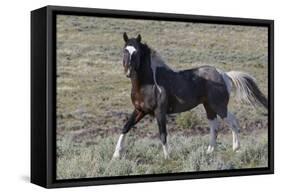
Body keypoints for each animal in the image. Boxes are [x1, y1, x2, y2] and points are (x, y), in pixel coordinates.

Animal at [112, 32, 266, 159]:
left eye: (136, 52)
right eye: (124, 50)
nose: (128, 72)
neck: (149, 83)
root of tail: (224, 75)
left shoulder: (160, 112)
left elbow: (163, 134)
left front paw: (167, 157)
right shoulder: (140, 110)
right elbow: (126, 127)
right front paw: (116, 154)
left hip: (219, 106)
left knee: (232, 122)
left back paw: (236, 148)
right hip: (209, 107)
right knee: (214, 126)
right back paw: (210, 151)